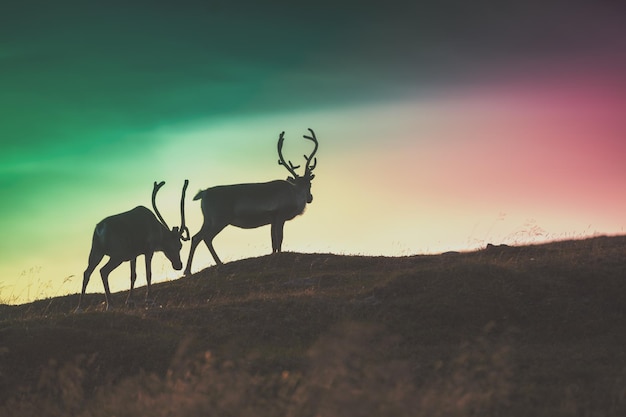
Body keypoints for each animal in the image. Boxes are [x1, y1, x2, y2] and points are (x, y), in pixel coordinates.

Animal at [75, 180, 189, 310]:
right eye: (179, 245)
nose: (179, 265)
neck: (159, 232)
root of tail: (100, 228)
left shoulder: (133, 255)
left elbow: (133, 275)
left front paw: (130, 301)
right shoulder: (148, 250)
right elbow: (148, 273)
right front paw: (150, 300)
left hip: (96, 251)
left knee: (87, 272)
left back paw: (79, 307)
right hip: (117, 255)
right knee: (103, 271)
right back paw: (110, 304)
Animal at [180, 128, 316, 274]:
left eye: (309, 183)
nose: (310, 198)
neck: (294, 193)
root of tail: (204, 193)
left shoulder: (272, 219)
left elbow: (273, 241)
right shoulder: (280, 215)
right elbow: (279, 238)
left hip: (208, 219)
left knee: (196, 237)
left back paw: (187, 270)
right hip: (220, 219)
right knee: (207, 237)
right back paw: (219, 263)